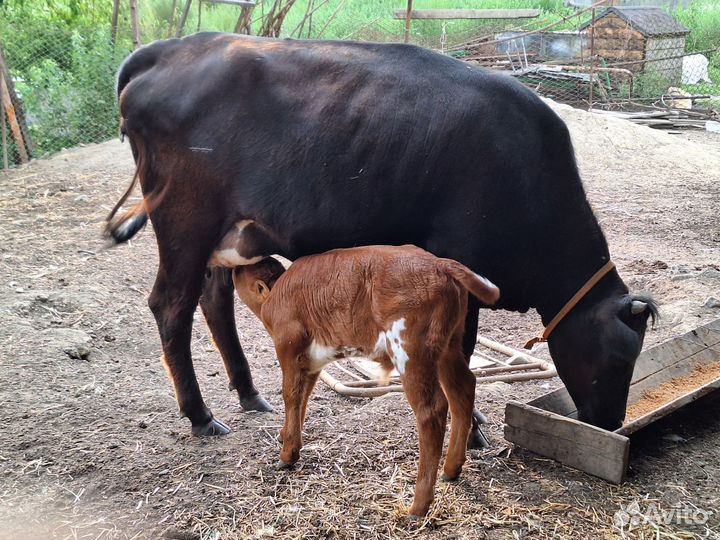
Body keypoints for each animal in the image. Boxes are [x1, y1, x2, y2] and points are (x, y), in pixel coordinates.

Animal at [108, 32, 660, 438]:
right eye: (619, 357)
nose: (612, 423)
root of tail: (168, 48)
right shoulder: (462, 262)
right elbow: (459, 350)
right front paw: (472, 426)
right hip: (185, 220)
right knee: (171, 306)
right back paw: (201, 416)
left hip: (229, 235)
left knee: (213, 299)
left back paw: (248, 394)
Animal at [233, 245, 498, 516]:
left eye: (243, 273)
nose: (236, 267)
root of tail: (440, 263)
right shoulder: (311, 360)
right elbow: (302, 397)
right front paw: (286, 435)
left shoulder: (289, 347)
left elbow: (291, 394)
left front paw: (287, 455)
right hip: (448, 345)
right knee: (463, 389)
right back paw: (451, 469)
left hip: (410, 351)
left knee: (432, 410)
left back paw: (418, 505)